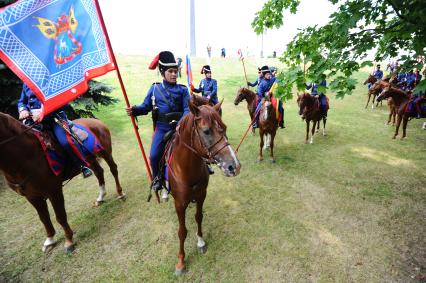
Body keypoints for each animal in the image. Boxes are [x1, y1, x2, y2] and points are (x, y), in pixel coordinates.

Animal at [0, 113, 124, 255]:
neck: (26, 156)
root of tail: (96, 121)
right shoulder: (32, 196)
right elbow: (44, 218)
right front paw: (49, 240)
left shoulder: (54, 190)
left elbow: (60, 216)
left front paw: (69, 241)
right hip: (90, 158)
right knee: (99, 172)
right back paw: (101, 197)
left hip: (105, 152)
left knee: (113, 169)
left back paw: (120, 193)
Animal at [167, 100, 241, 276]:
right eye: (206, 131)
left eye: (224, 128)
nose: (234, 166)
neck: (187, 168)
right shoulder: (179, 204)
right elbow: (182, 231)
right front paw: (180, 262)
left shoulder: (201, 195)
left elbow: (198, 217)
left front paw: (200, 242)